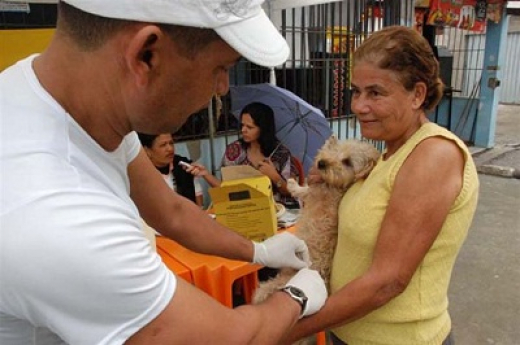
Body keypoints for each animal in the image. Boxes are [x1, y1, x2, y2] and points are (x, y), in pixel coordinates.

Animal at [253, 136, 380, 306]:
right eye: (336, 149)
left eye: (347, 161)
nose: (321, 163)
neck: (335, 186)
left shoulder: (313, 193)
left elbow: (302, 190)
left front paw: (292, 183)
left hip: (285, 279)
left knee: (270, 287)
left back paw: (258, 296)